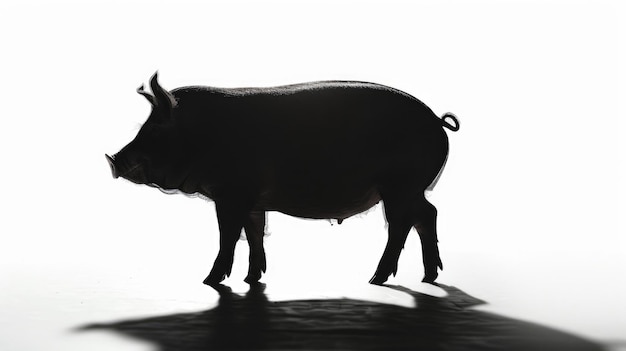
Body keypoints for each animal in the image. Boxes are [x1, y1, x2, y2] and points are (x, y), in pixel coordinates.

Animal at [105, 73, 458, 288]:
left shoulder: (231, 195)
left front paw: (210, 281)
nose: (112, 159)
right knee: (428, 214)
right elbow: (254, 233)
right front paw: (252, 279)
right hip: (411, 189)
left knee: (401, 224)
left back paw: (376, 279)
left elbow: (229, 236)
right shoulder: (250, 200)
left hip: (399, 186)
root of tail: (437, 121)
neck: (201, 135)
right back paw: (428, 277)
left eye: (154, 130)